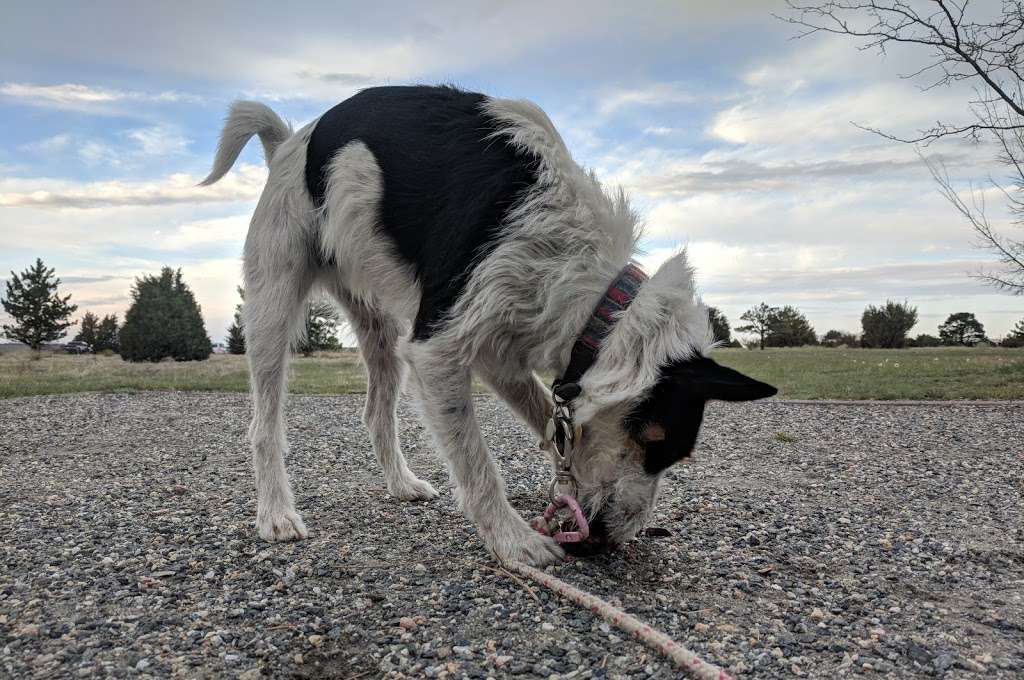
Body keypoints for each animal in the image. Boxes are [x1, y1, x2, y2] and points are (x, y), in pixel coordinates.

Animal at [201, 86, 774, 569]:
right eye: (656, 441)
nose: (612, 537)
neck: (590, 283)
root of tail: (287, 144)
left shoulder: (502, 349)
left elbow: (549, 418)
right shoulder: (437, 348)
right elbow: (478, 463)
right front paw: (514, 540)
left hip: (378, 324)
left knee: (375, 412)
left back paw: (401, 482)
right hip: (273, 303)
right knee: (265, 424)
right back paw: (276, 513)